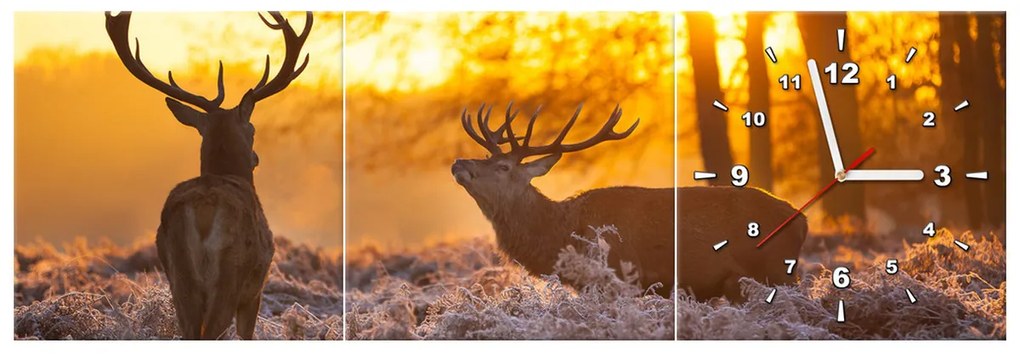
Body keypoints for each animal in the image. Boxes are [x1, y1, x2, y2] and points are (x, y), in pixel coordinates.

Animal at [104, 10, 312, 336]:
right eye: (253, 129)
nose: (255, 157)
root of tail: (203, 208)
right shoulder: (255, 289)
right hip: (229, 275)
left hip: (179, 276)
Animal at [452, 102, 803, 297]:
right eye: (487, 157)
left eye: (503, 167)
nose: (458, 163)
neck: (563, 235)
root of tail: (802, 220)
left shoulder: (618, 278)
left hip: (775, 272)